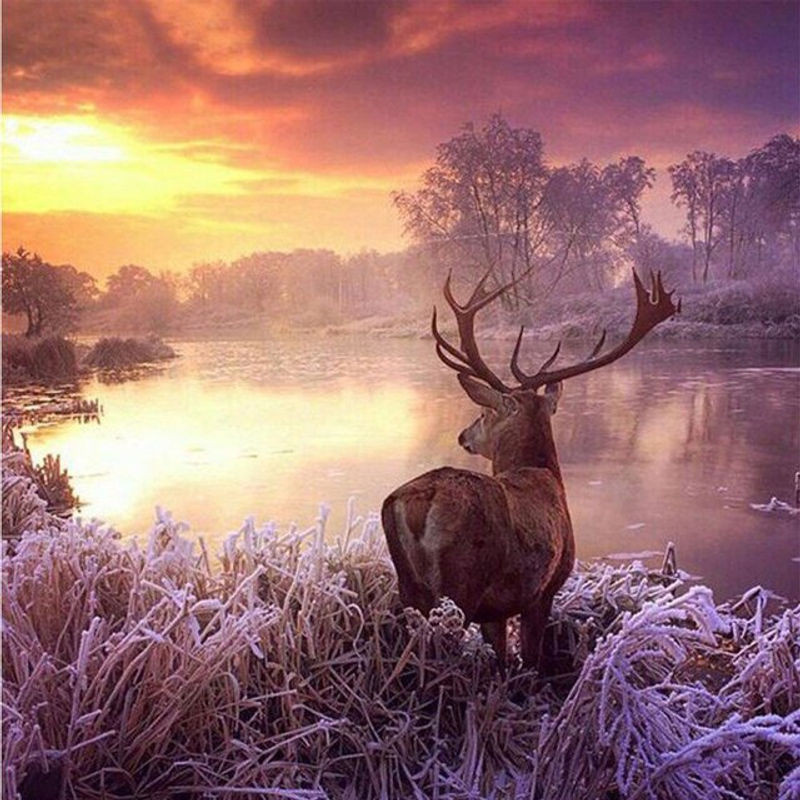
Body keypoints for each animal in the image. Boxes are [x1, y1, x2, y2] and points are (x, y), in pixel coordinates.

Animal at [382, 268, 679, 669]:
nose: (463, 435)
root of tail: (417, 502)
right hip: (461, 586)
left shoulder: (495, 609)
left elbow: (501, 656)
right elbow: (532, 659)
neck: (543, 472)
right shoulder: (544, 588)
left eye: (482, 413)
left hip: (409, 587)